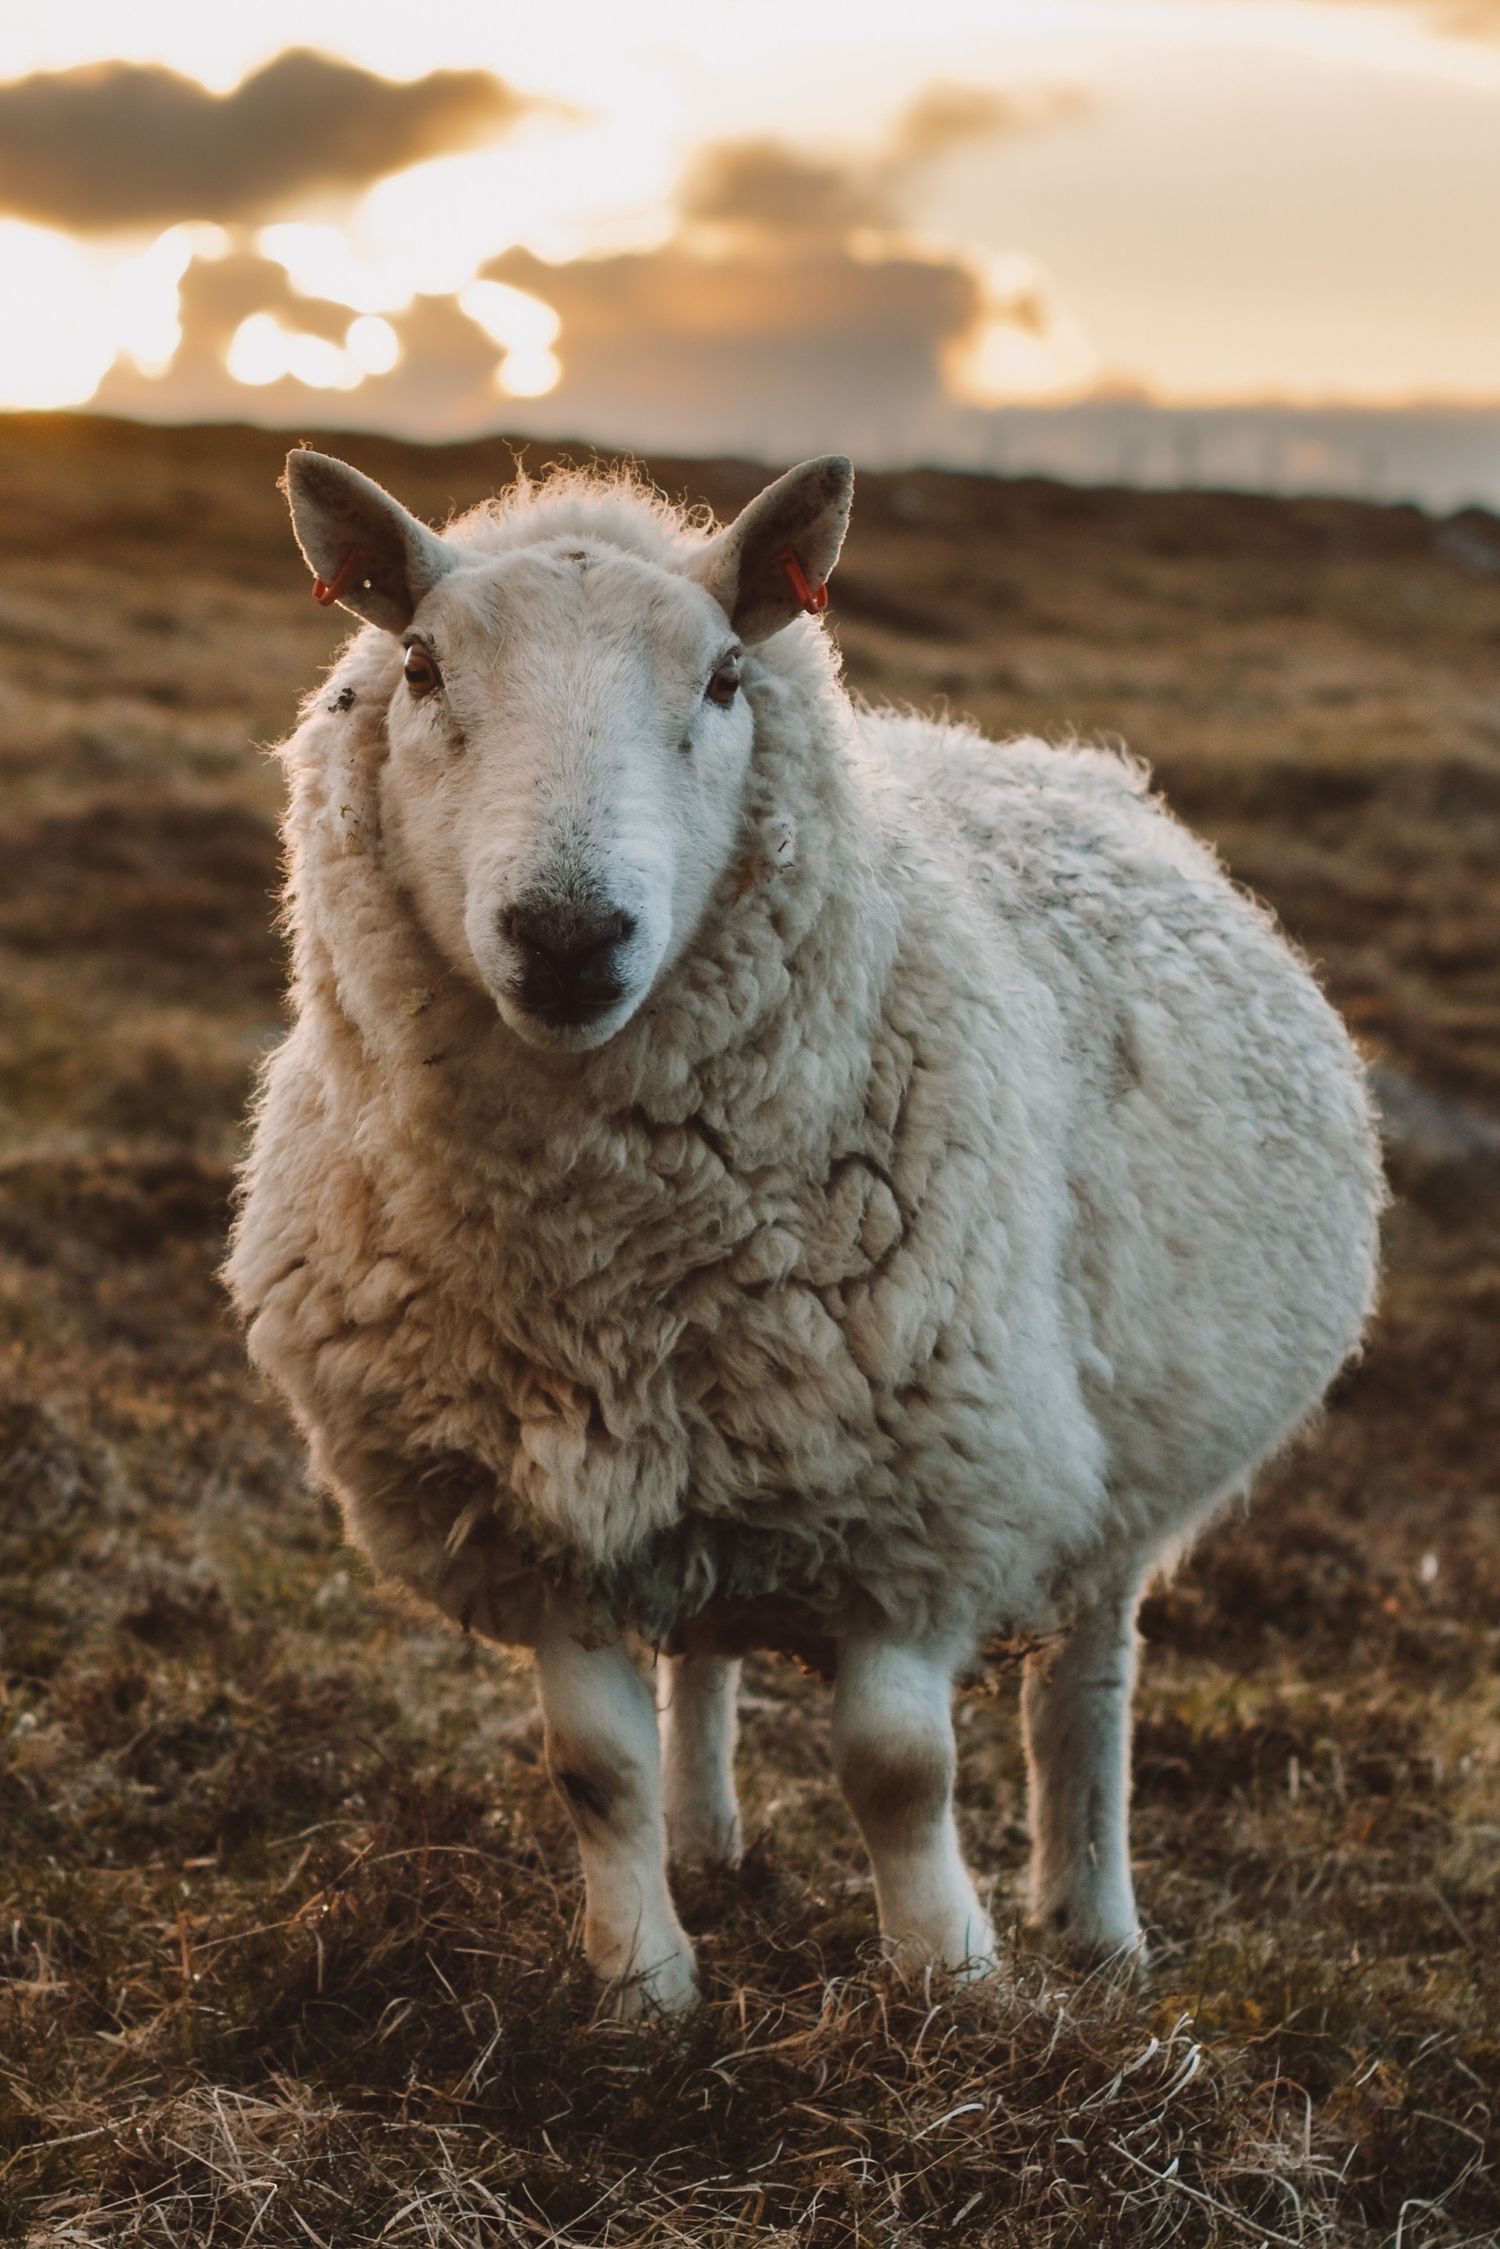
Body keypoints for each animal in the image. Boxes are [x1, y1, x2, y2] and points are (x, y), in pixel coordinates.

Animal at [226, 447, 1384, 2017]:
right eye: (418, 665)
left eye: (724, 676)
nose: (569, 935)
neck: (600, 1256)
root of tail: (1083, 765)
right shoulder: (536, 1523)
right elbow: (595, 1766)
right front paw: (643, 1990)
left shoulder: (927, 1492)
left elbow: (899, 1770)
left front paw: (951, 1981)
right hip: (709, 1453)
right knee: (702, 1662)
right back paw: (710, 1839)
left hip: (1117, 1476)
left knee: (1084, 1693)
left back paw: (1096, 1927)